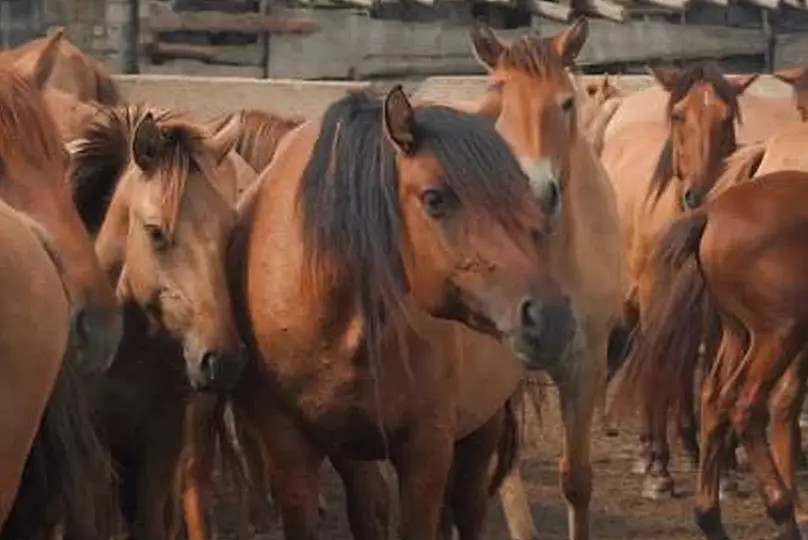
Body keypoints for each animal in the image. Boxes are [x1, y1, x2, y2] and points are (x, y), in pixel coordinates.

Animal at [616, 170, 808, 540]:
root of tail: (710, 213)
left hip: (739, 334)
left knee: (714, 399)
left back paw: (710, 517)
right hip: (778, 336)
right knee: (746, 406)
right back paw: (783, 513)